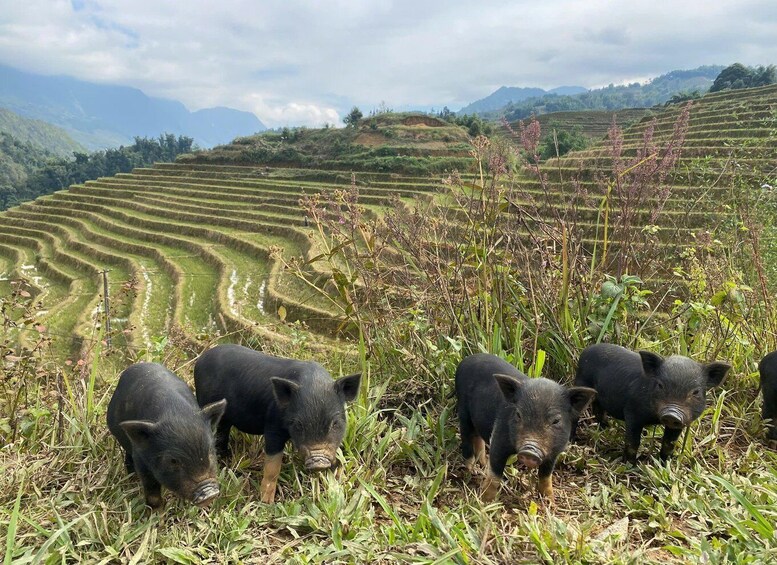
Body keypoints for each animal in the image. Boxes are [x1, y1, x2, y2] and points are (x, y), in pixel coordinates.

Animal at [106, 362, 227, 509]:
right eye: (173, 461)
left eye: (210, 452)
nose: (209, 493)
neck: (175, 412)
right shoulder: (141, 459)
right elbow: (152, 492)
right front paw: (157, 512)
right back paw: (132, 478)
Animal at [193, 344, 361, 503]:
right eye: (299, 425)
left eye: (335, 423)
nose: (318, 462)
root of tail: (201, 359)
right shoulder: (272, 426)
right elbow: (273, 467)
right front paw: (266, 502)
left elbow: (337, 457)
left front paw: (340, 480)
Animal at [455, 353, 596, 502]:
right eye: (518, 414)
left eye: (556, 420)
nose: (529, 451)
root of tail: (465, 360)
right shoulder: (498, 439)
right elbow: (495, 474)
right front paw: (485, 501)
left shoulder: (554, 452)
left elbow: (546, 477)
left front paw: (550, 501)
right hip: (463, 410)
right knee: (466, 439)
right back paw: (471, 470)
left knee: (477, 437)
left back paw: (482, 464)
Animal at [572, 343, 730, 462]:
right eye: (660, 385)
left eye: (695, 392)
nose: (672, 414)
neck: (655, 418)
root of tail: (586, 350)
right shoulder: (632, 413)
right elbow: (633, 442)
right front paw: (631, 465)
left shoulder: (680, 422)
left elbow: (669, 443)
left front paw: (665, 463)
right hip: (581, 380)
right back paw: (574, 440)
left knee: (598, 408)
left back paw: (607, 427)